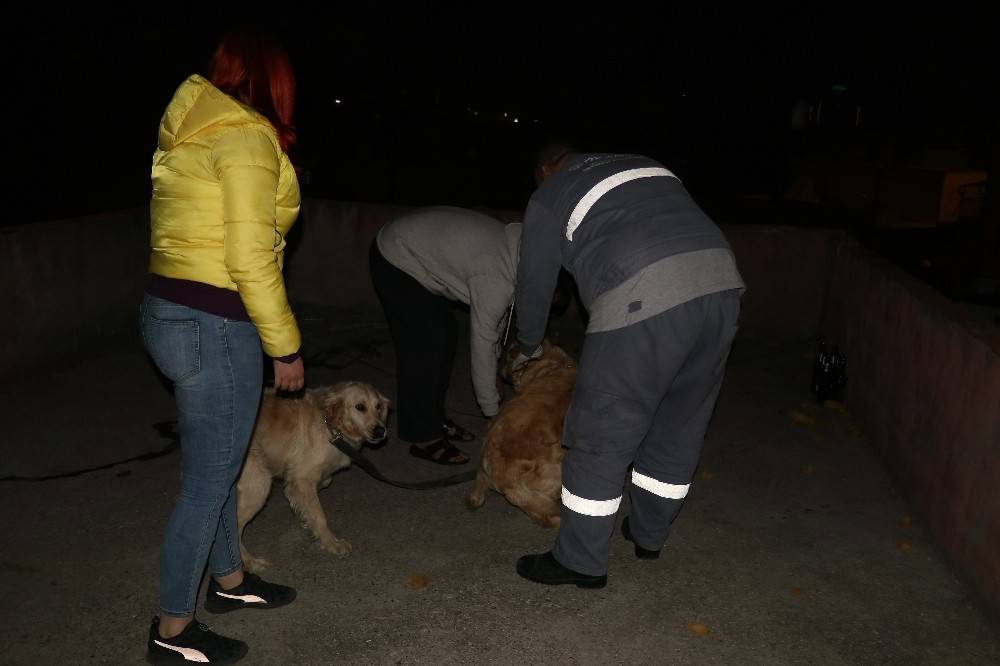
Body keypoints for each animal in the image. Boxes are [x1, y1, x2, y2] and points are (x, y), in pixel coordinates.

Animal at [236, 382, 388, 568]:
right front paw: (332, 543)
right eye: (360, 407)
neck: (330, 424)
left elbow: (322, 484)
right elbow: (319, 515)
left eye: (378, 406)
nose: (381, 431)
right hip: (259, 484)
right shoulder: (302, 478)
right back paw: (251, 562)